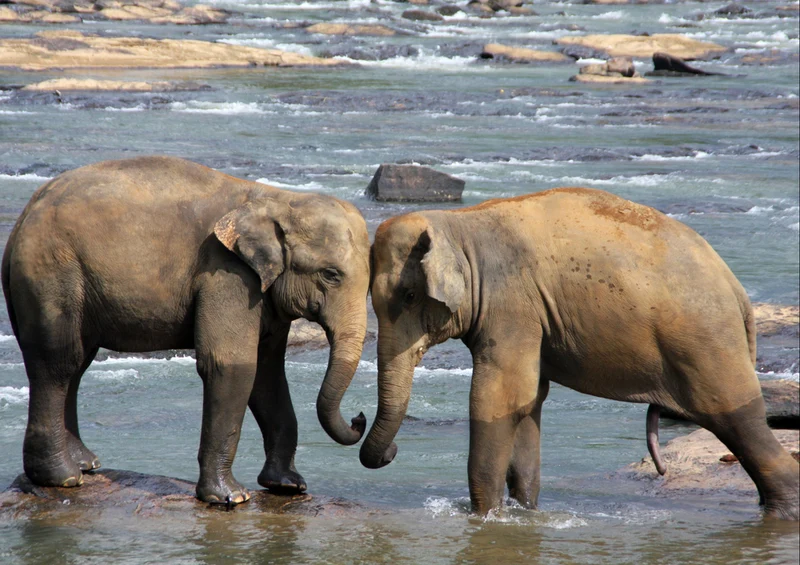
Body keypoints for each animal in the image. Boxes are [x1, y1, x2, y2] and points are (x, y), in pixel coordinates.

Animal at [1, 156, 371, 505]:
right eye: (331, 275)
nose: (359, 418)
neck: (278, 198)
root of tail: (24, 216)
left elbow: (267, 373)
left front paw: (288, 486)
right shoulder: (226, 274)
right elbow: (232, 365)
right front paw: (231, 498)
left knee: (77, 363)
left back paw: (85, 465)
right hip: (51, 271)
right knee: (58, 361)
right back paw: (62, 478)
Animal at [359, 187, 799, 521]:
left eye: (409, 296)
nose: (391, 449)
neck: (458, 222)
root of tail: (737, 290)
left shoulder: (512, 303)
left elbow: (499, 398)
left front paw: (485, 518)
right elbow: (529, 402)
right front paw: (524, 513)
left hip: (707, 341)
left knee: (737, 419)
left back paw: (782, 512)